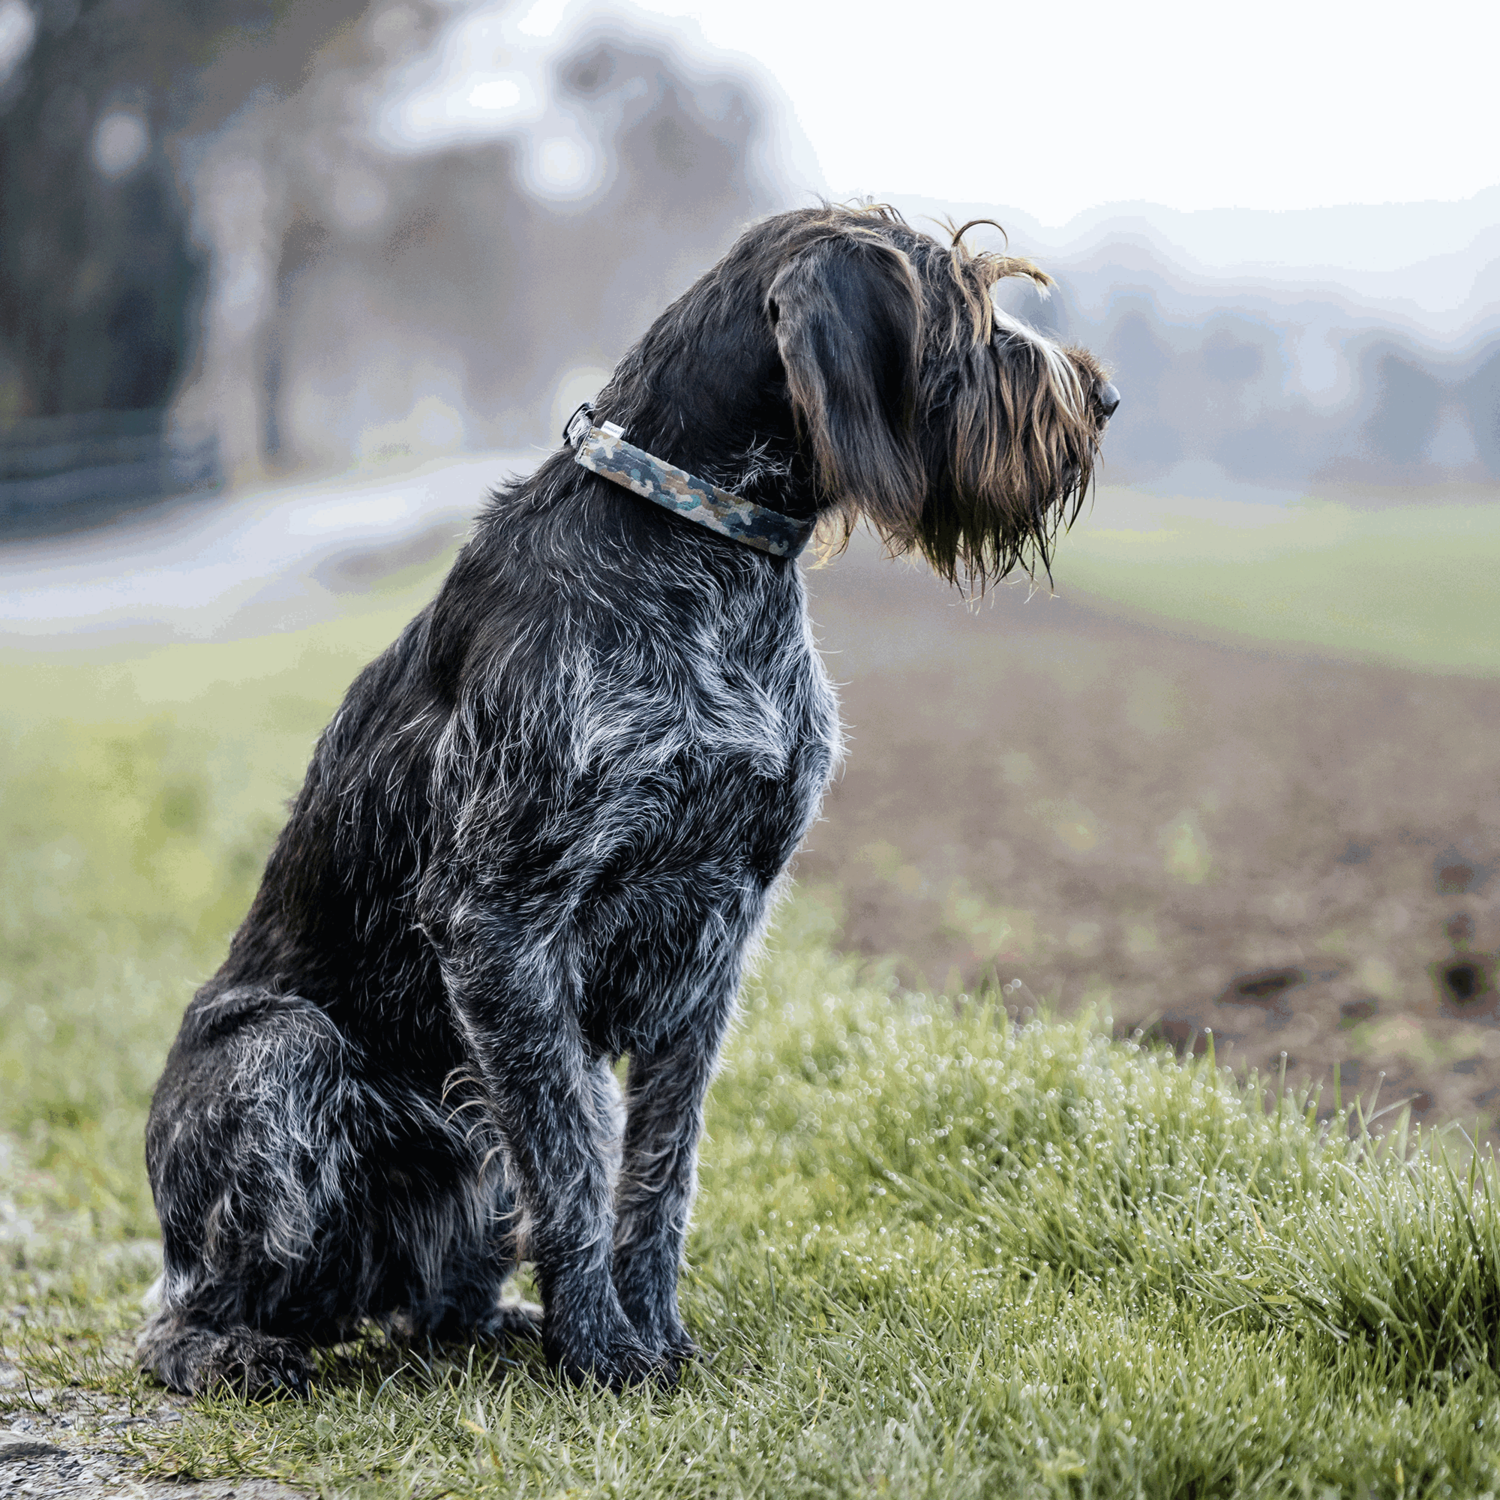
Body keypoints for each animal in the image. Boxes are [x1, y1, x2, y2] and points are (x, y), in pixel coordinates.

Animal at [141, 202, 1122, 1392]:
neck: (701, 545)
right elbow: (571, 1172)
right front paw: (605, 1349)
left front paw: (652, 1329)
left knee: (439, 1295)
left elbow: (658, 1176)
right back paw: (237, 1350)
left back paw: (495, 1321)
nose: (1103, 398)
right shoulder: (501, 923)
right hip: (280, 1055)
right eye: (968, 308)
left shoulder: (718, 933)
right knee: (184, 1306)